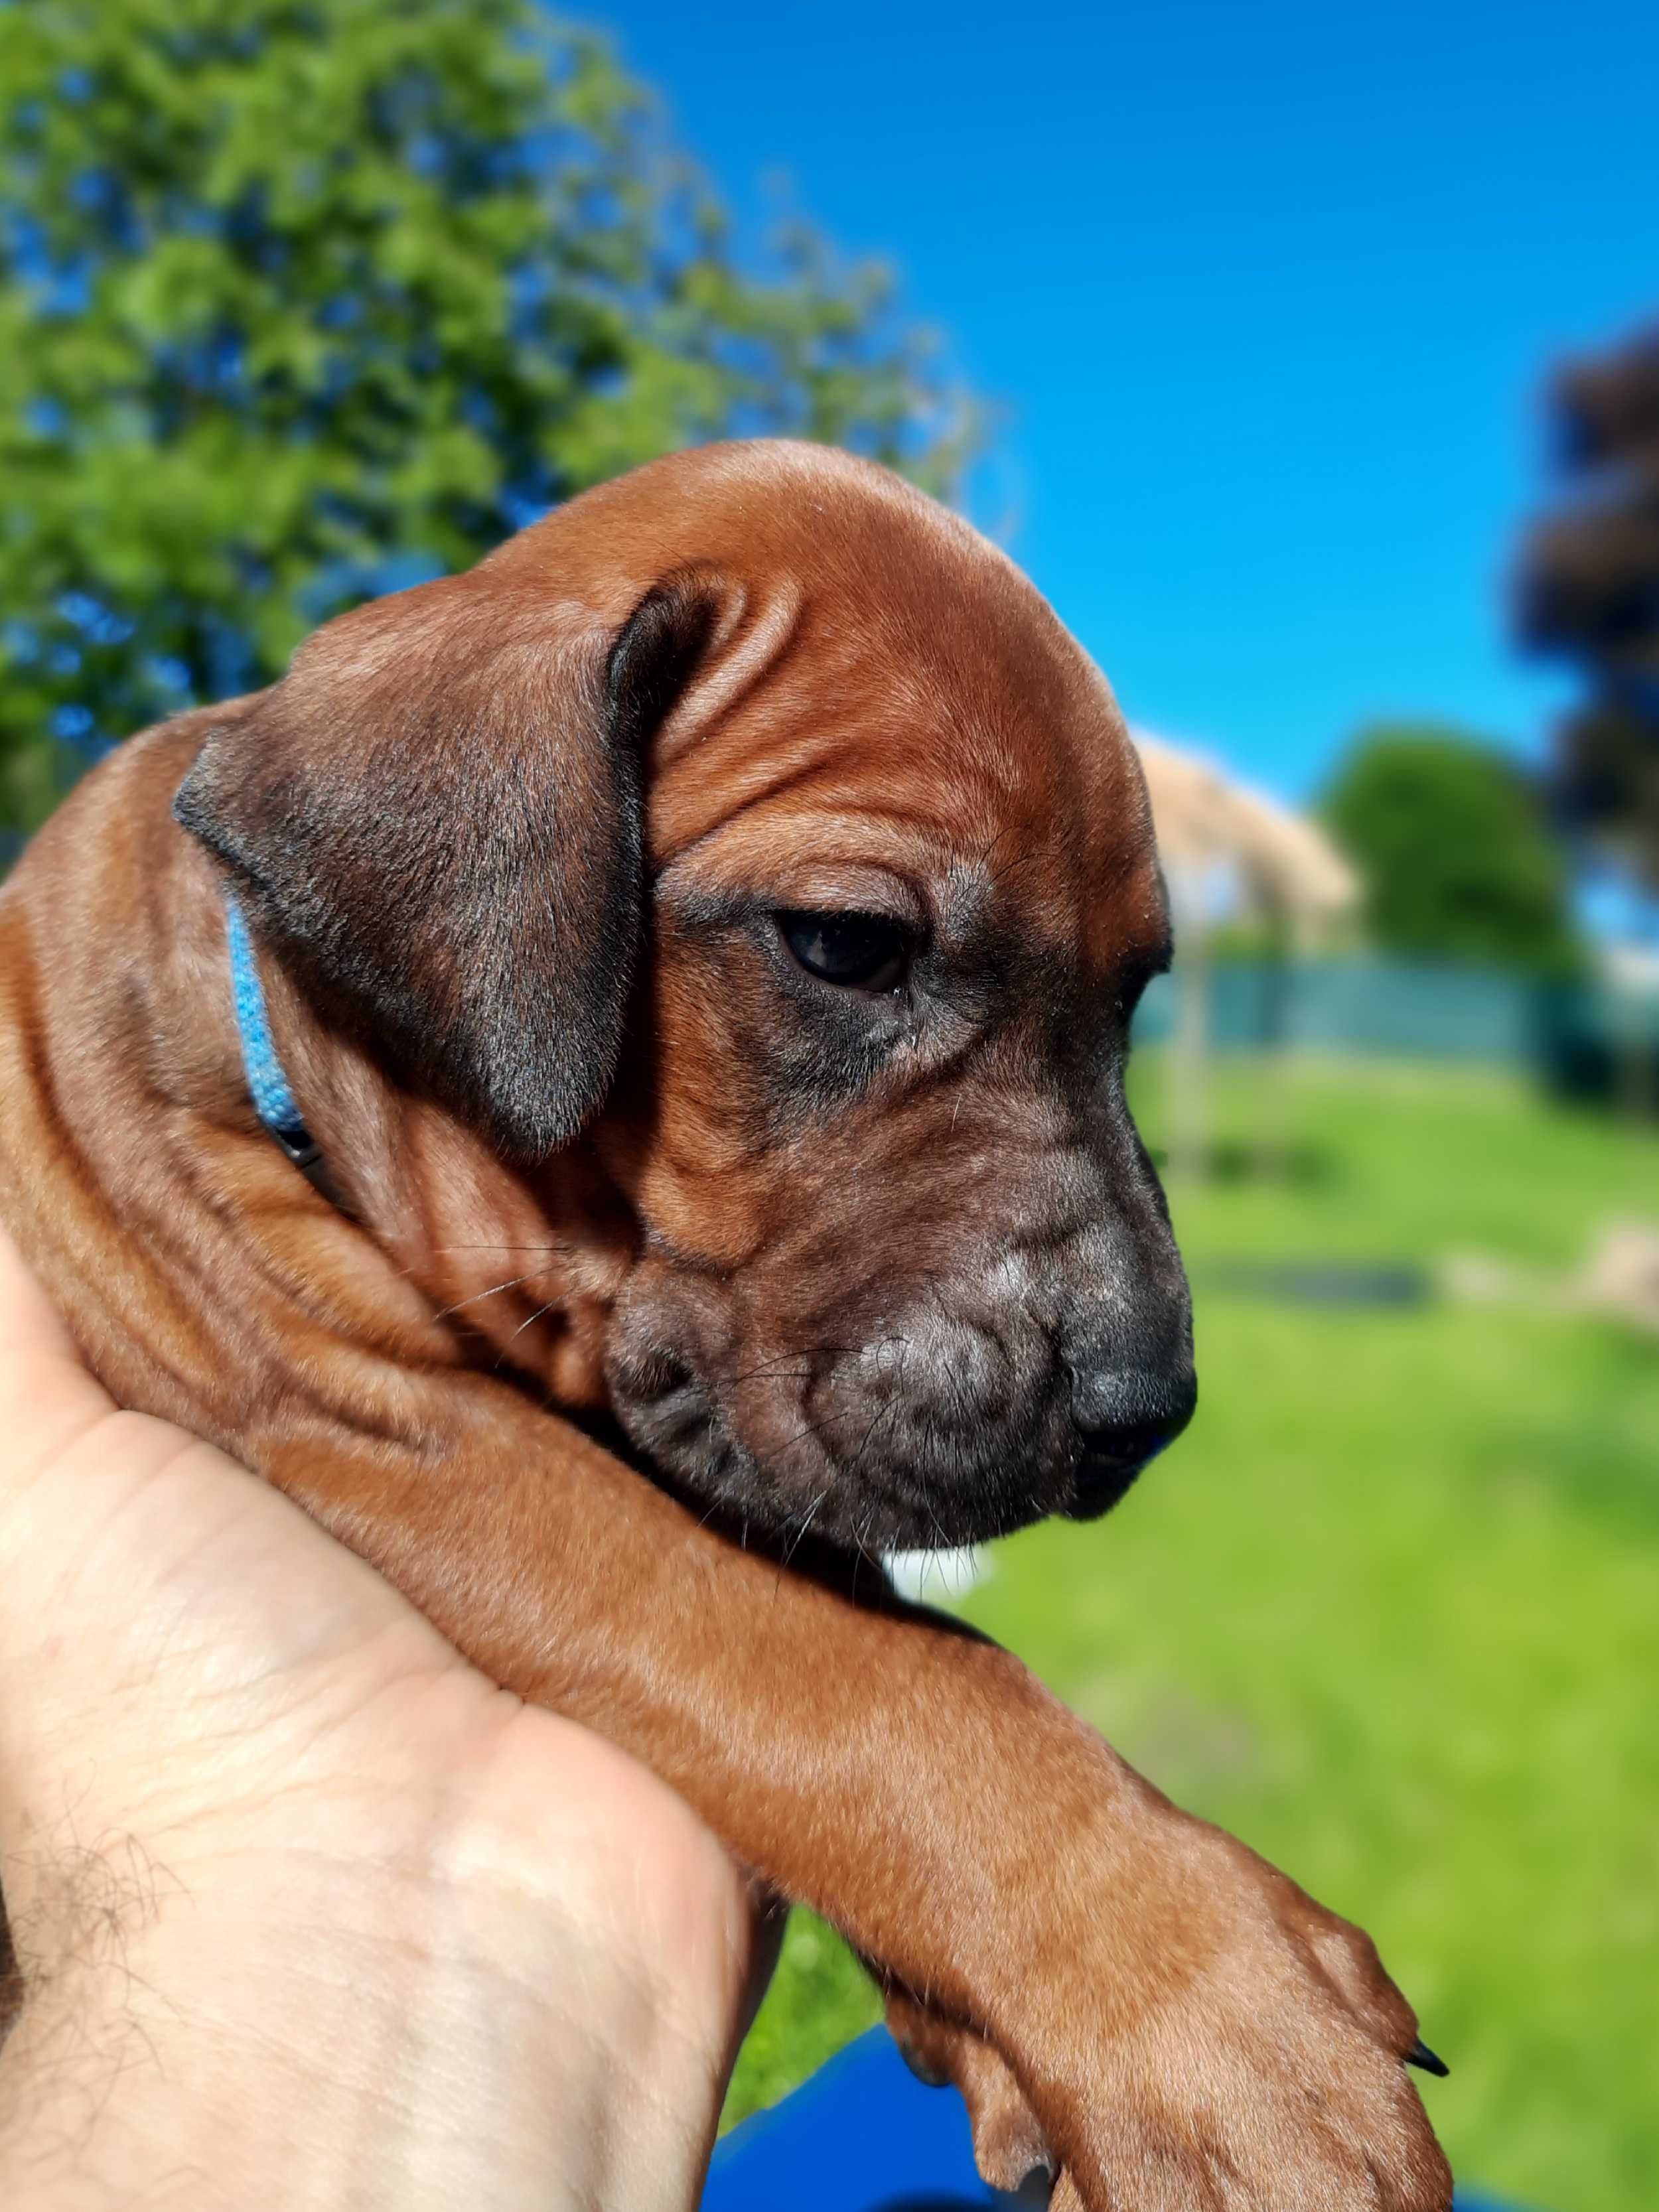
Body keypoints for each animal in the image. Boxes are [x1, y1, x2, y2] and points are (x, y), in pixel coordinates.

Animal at [0, 440, 1451, 2203]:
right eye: (845, 945)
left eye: (1133, 997)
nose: (1144, 1409)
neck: (282, 1040)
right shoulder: (375, 1417)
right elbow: (858, 1676)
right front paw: (1213, 2008)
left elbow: (883, 1604)